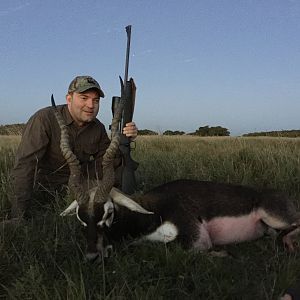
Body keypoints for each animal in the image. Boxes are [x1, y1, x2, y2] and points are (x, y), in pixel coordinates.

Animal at [51, 96, 300, 260]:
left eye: (109, 212)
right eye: (80, 216)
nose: (93, 256)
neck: (152, 213)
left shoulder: (197, 239)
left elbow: (180, 248)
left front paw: (223, 253)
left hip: (276, 217)